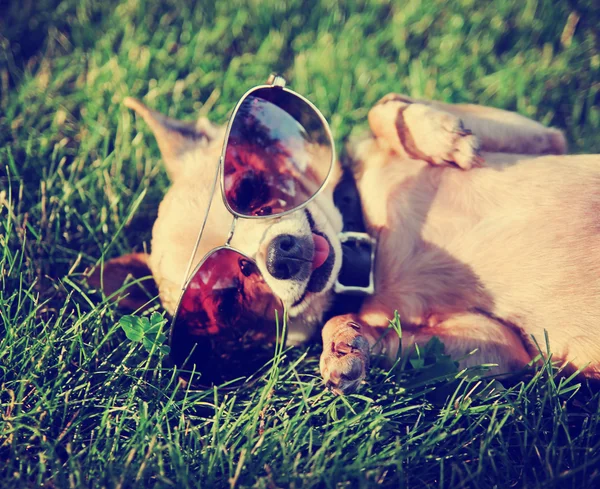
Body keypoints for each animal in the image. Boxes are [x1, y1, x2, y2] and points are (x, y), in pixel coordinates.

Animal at [94, 88, 600, 392]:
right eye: (230, 295)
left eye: (251, 189)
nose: (277, 256)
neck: (368, 251)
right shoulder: (501, 345)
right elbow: (375, 335)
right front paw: (344, 344)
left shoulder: (544, 138)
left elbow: (380, 108)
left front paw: (438, 136)